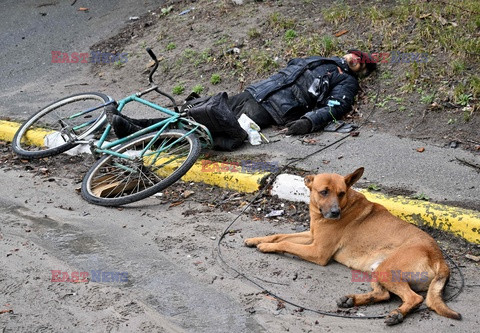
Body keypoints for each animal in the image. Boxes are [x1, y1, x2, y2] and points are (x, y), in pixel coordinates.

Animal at [246, 167, 464, 322]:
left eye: (341, 193)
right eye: (323, 192)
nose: (335, 213)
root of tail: (438, 256)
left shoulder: (317, 251)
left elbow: (286, 243)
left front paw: (266, 247)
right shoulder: (311, 236)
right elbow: (279, 235)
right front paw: (256, 240)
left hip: (387, 268)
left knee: (414, 299)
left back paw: (397, 314)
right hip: (379, 270)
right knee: (383, 294)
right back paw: (352, 300)